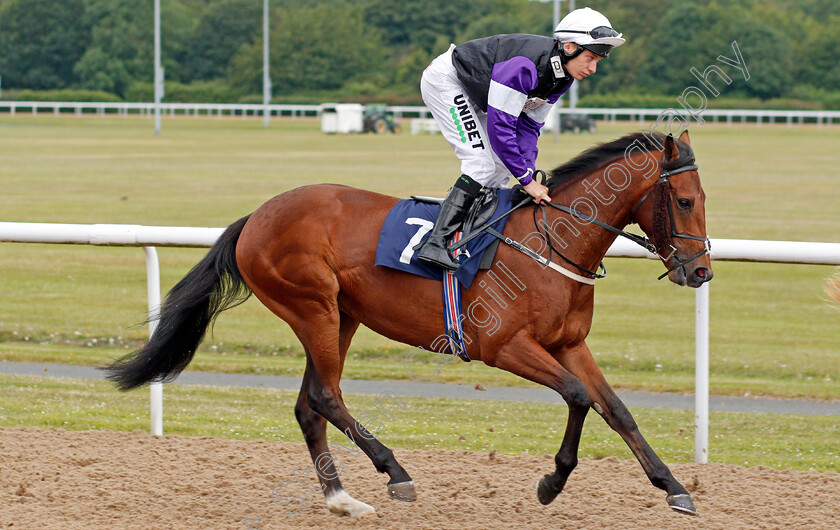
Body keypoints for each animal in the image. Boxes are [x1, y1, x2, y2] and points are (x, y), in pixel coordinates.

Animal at [101, 129, 712, 516]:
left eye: (703, 197)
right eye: (684, 201)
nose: (701, 270)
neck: (551, 243)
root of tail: (257, 215)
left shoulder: (569, 344)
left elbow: (617, 410)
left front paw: (673, 487)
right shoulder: (503, 346)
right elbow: (579, 397)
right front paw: (551, 482)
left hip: (340, 316)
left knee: (308, 404)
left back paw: (341, 499)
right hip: (312, 306)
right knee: (324, 396)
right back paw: (394, 472)